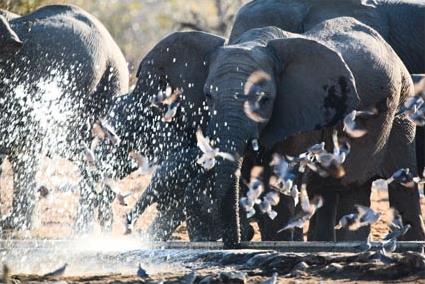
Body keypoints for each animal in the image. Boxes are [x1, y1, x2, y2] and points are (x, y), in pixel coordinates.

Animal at [137, 15, 424, 247]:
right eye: (208, 96)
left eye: (264, 99)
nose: (237, 240)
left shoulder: (300, 109)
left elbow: (275, 179)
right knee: (348, 186)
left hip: (403, 106)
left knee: (400, 181)